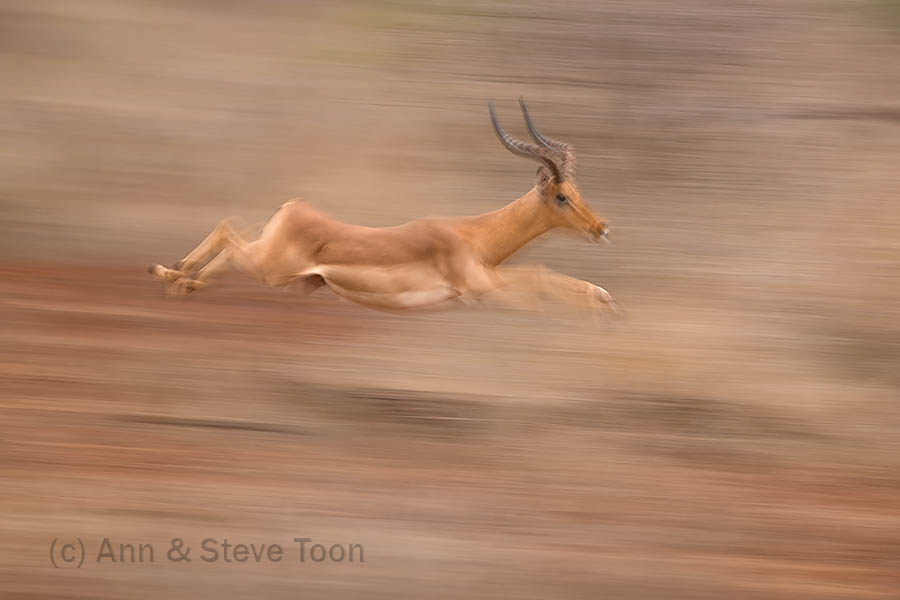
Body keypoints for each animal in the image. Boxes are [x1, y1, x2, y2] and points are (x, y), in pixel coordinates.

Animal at [149, 99, 619, 315]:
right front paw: (604, 299)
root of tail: (295, 207)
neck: (473, 234)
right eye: (561, 196)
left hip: (282, 272)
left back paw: (181, 281)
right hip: (270, 268)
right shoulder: (479, 288)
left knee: (229, 229)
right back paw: (170, 273)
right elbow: (539, 275)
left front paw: (605, 298)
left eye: (577, 189)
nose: (601, 228)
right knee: (227, 232)